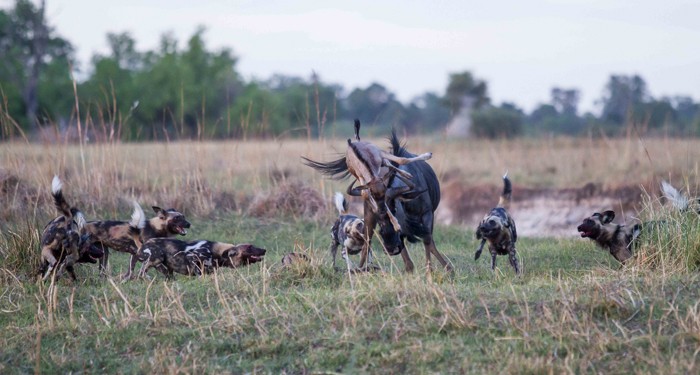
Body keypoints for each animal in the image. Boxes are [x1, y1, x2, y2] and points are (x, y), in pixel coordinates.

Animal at [128, 203, 266, 280]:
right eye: (249, 247)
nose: (264, 249)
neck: (216, 252)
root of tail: (144, 243)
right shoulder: (192, 257)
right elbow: (199, 273)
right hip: (156, 258)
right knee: (141, 272)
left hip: (166, 268)